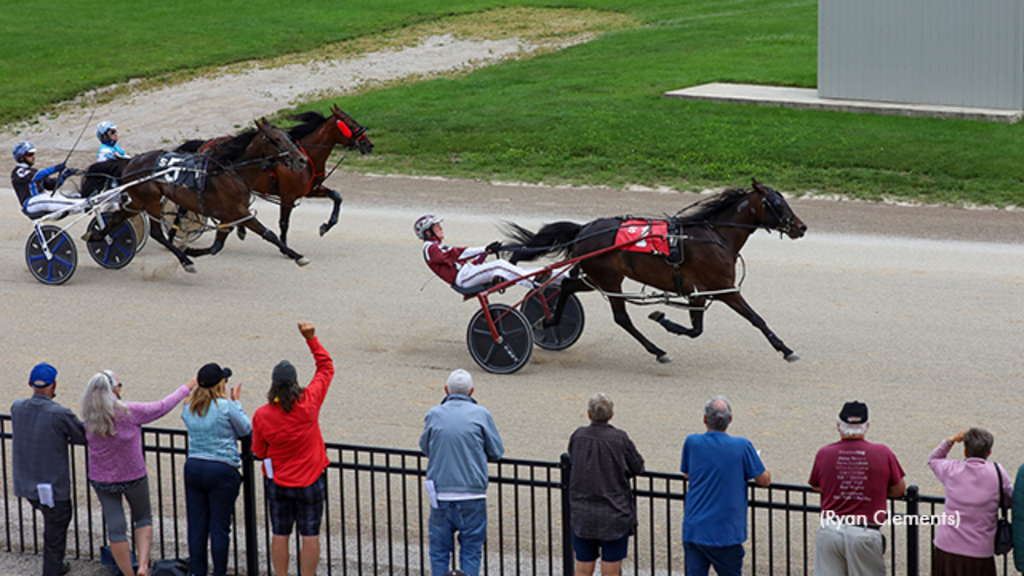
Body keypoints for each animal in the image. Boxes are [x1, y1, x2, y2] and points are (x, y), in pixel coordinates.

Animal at [82, 117, 307, 272]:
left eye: (288, 136)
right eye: (276, 139)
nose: (302, 160)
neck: (231, 171)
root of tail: (129, 162)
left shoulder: (228, 216)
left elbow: (216, 246)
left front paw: (192, 250)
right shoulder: (236, 212)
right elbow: (267, 233)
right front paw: (296, 255)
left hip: (138, 202)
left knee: (118, 217)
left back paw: (97, 235)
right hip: (150, 200)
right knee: (156, 232)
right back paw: (185, 261)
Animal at [503, 177, 806, 360]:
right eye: (777, 203)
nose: (801, 227)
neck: (716, 236)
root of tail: (583, 229)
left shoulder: (698, 293)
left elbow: (696, 330)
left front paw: (663, 318)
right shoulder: (724, 289)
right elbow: (756, 318)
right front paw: (785, 348)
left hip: (595, 277)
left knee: (566, 285)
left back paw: (549, 321)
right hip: (608, 278)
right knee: (621, 318)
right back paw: (657, 351)